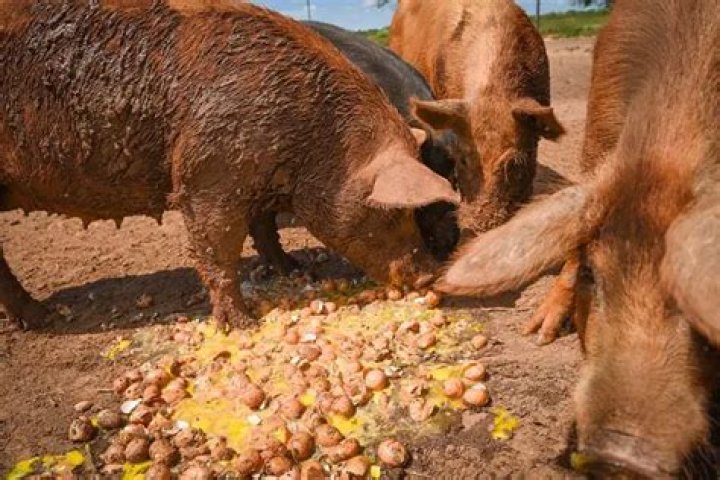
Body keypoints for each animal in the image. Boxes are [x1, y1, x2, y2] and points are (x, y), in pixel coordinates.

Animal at [0, 0, 459, 329]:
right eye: (393, 214)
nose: (428, 277)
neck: (313, 138)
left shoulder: (258, 181)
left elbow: (265, 229)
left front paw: (295, 269)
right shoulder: (205, 176)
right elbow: (217, 250)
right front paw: (242, 325)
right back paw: (43, 319)